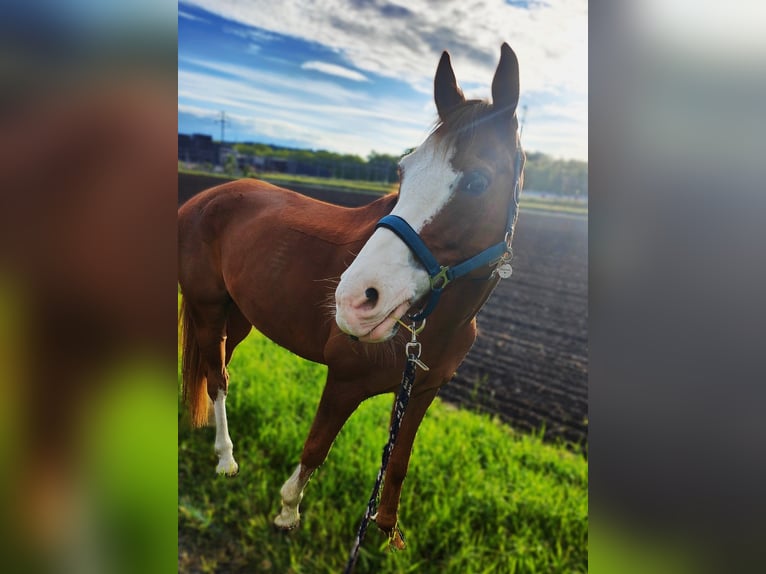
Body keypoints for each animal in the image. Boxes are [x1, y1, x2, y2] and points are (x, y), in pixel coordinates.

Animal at [178, 42, 528, 548]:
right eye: (403, 171)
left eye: (479, 181)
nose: (353, 301)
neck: (438, 322)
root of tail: (201, 199)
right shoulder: (343, 382)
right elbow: (315, 449)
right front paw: (287, 513)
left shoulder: (422, 392)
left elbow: (397, 464)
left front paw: (388, 531)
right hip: (208, 311)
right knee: (217, 377)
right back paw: (226, 458)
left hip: (238, 317)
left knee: (215, 369)